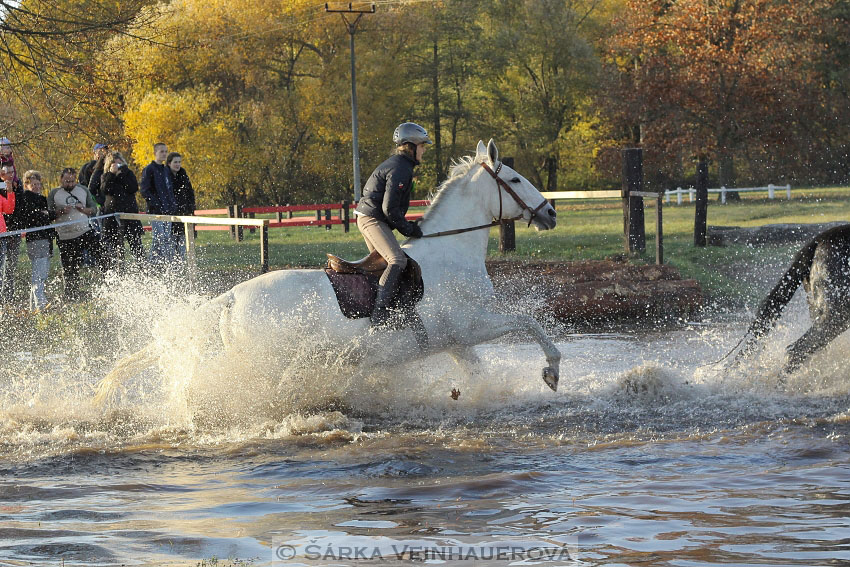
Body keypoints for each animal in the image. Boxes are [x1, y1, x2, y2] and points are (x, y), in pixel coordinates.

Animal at [94, 140, 556, 406]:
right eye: (515, 178)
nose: (550, 212)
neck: (452, 251)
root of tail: (233, 296)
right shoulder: (473, 324)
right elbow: (529, 323)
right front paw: (551, 372)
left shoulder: (456, 342)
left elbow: (481, 374)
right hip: (261, 360)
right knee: (209, 387)